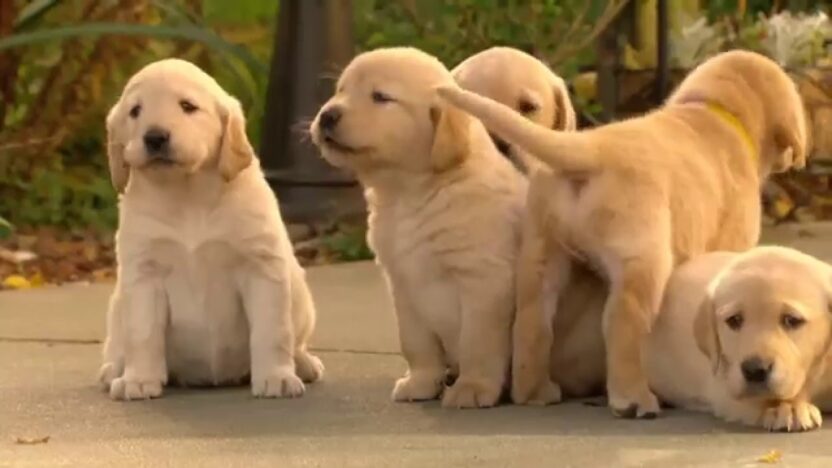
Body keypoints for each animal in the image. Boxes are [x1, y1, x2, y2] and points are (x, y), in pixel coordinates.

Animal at [99, 58, 324, 400]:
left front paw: (276, 377)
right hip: (116, 306)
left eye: (188, 106)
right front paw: (138, 379)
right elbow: (142, 332)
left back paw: (304, 364)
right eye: (135, 111)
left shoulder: (260, 267)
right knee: (118, 343)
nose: (154, 137)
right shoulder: (143, 273)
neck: (188, 194)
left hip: (301, 297)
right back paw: (114, 370)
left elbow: (272, 331)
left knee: (295, 341)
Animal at [308, 45, 524, 408]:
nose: (327, 115)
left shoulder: (485, 281)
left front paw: (473, 387)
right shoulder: (403, 285)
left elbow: (478, 343)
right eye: (340, 90)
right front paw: (421, 383)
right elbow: (416, 342)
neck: (409, 195)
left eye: (381, 97)